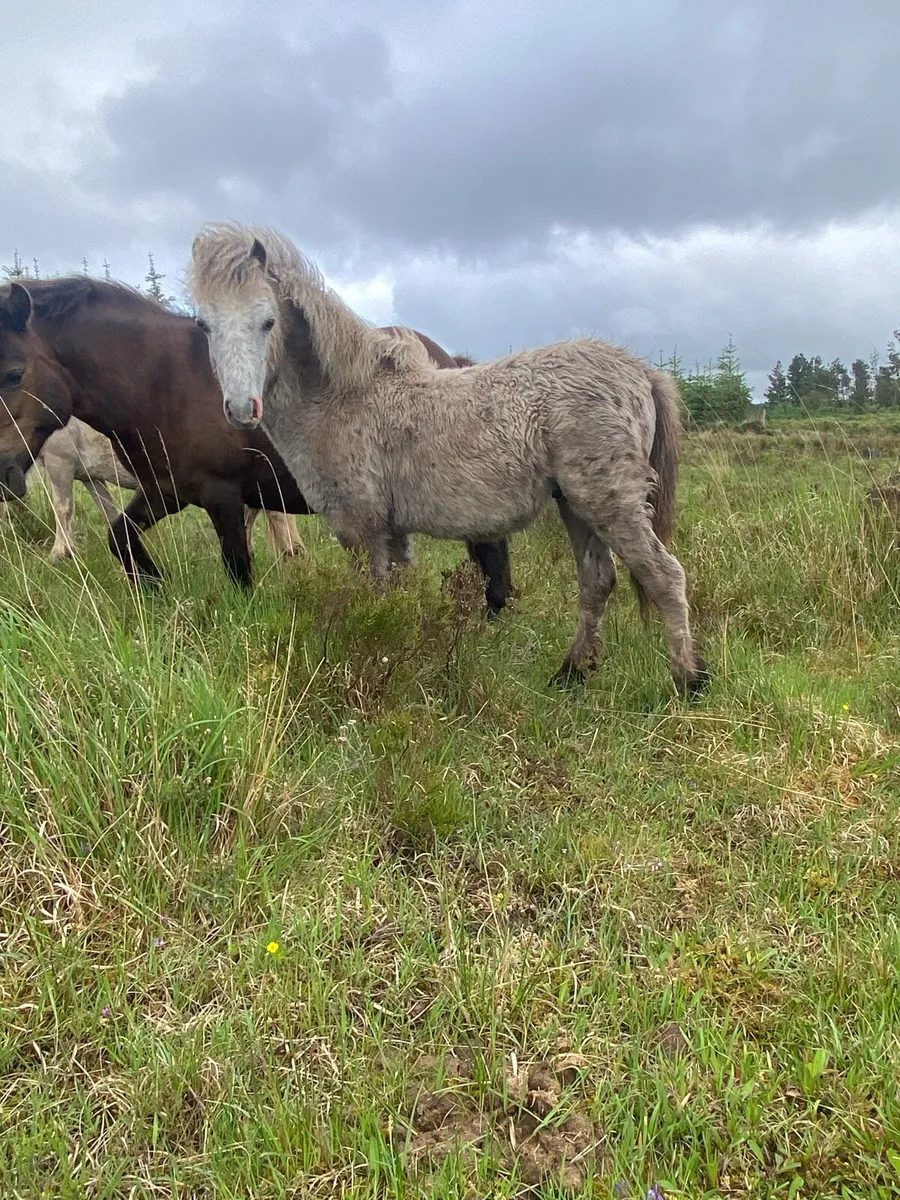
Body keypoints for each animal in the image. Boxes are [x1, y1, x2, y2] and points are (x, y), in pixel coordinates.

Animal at [0, 280, 512, 610]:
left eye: (12, 373)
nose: (3, 475)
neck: (163, 381)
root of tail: (447, 359)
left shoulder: (222, 496)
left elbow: (238, 568)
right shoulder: (166, 489)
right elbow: (119, 537)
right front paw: (156, 589)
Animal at [188, 223, 708, 695]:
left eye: (267, 321)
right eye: (205, 325)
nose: (241, 409)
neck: (343, 397)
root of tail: (640, 370)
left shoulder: (361, 529)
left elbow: (373, 601)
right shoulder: (391, 533)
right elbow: (396, 596)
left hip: (609, 503)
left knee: (664, 577)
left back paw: (688, 680)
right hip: (576, 506)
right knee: (597, 581)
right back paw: (571, 673)